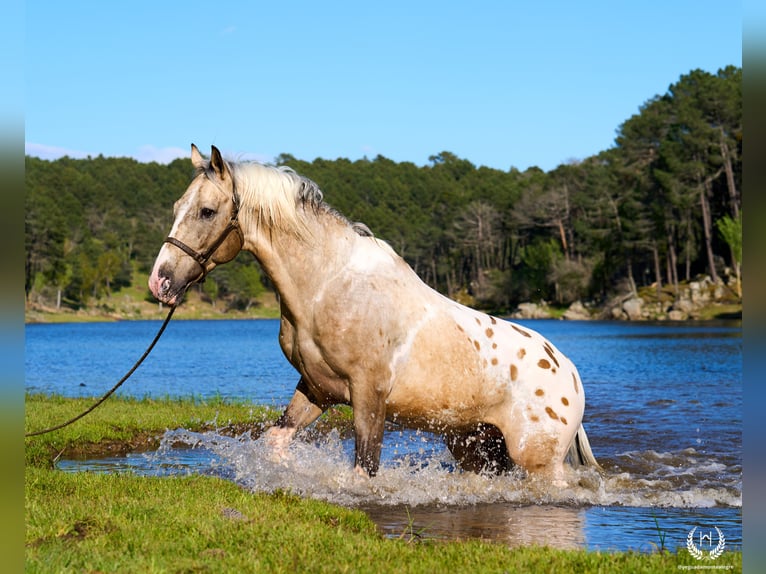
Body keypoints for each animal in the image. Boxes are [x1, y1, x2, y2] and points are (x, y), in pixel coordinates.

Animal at [148, 145, 600, 481]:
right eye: (175, 206)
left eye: (207, 211)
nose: (160, 282)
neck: (329, 286)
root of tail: (569, 372)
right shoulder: (317, 388)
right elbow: (276, 442)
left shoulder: (369, 395)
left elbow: (364, 470)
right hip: (475, 447)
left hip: (537, 461)